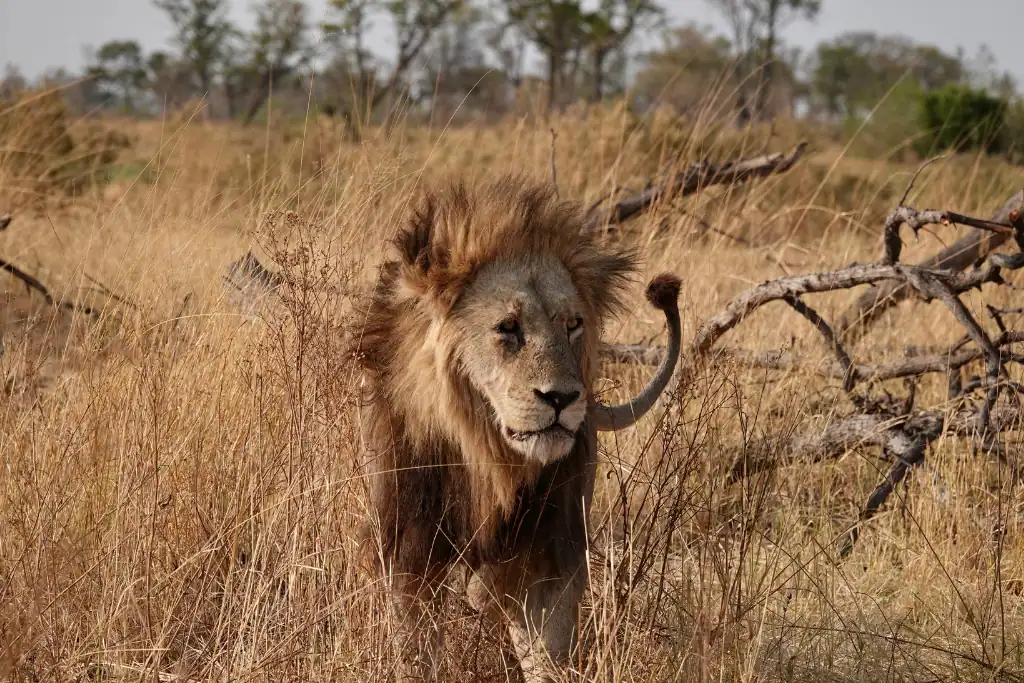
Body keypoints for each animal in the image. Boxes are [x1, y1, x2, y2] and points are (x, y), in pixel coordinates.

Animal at [352, 175, 682, 682]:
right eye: (508, 327)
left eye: (573, 324)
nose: (562, 398)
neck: (486, 458)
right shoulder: (407, 548)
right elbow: (416, 649)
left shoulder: (549, 557)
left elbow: (546, 651)